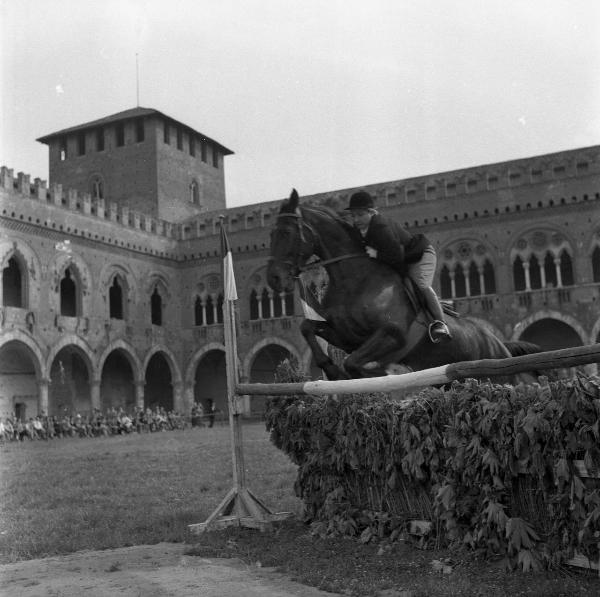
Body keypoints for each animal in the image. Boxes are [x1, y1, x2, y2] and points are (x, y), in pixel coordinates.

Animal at [268, 189, 540, 380]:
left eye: (287, 233)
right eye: (271, 234)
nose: (274, 279)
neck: (354, 280)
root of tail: (499, 344)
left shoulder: (391, 333)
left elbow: (354, 363)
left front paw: (381, 373)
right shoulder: (345, 336)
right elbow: (307, 328)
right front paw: (332, 370)